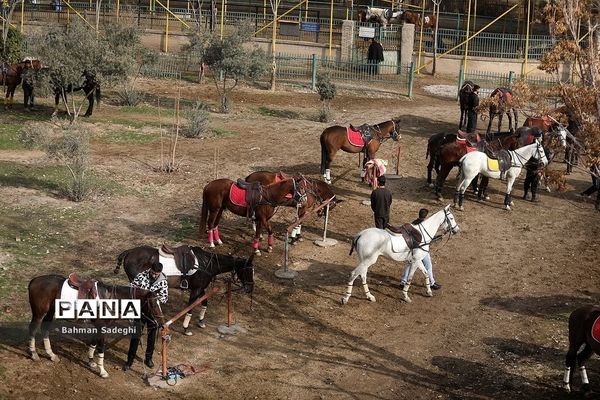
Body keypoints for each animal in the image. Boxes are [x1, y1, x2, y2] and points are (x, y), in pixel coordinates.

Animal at [28, 274, 164, 380]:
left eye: (160, 302)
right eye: (153, 304)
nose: (161, 322)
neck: (111, 298)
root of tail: (34, 280)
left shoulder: (98, 326)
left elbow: (93, 343)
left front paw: (91, 361)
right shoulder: (102, 327)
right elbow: (101, 348)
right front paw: (102, 371)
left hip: (50, 312)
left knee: (45, 331)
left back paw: (51, 355)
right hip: (39, 313)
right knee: (33, 330)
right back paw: (34, 354)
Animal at [113, 245, 254, 336]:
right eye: (248, 271)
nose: (250, 288)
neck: (206, 263)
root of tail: (129, 252)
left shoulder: (200, 288)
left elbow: (205, 303)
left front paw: (201, 322)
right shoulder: (196, 290)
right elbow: (190, 308)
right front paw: (186, 329)